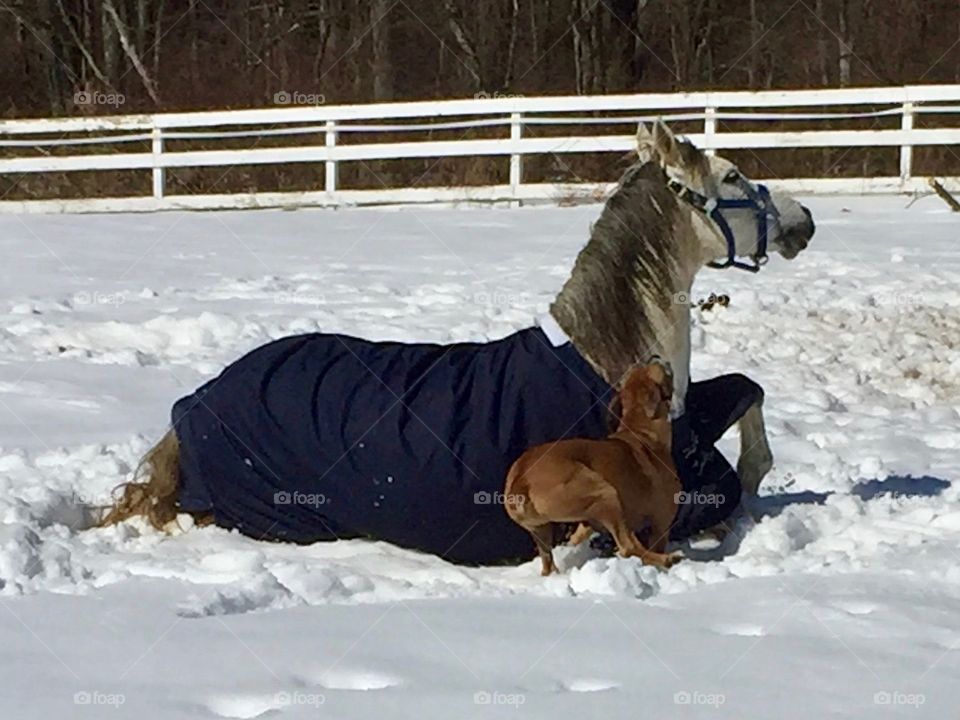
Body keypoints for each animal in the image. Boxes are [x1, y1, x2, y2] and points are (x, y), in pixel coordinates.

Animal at [506, 362, 680, 576]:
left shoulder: (587, 521)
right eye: (658, 370)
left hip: (542, 528)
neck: (640, 429)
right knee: (628, 546)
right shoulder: (661, 522)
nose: (659, 359)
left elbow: (578, 535)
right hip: (606, 494)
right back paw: (668, 559)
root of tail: (521, 478)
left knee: (548, 562)